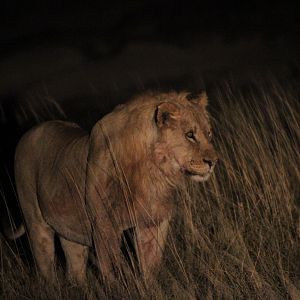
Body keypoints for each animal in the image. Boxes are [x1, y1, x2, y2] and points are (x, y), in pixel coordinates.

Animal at [11, 91, 218, 286]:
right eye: (190, 135)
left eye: (209, 134)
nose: (213, 161)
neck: (153, 172)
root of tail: (29, 133)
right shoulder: (104, 224)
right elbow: (110, 266)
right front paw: (116, 288)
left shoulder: (153, 221)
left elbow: (151, 263)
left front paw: (150, 287)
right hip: (36, 223)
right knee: (45, 265)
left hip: (69, 229)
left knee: (75, 267)